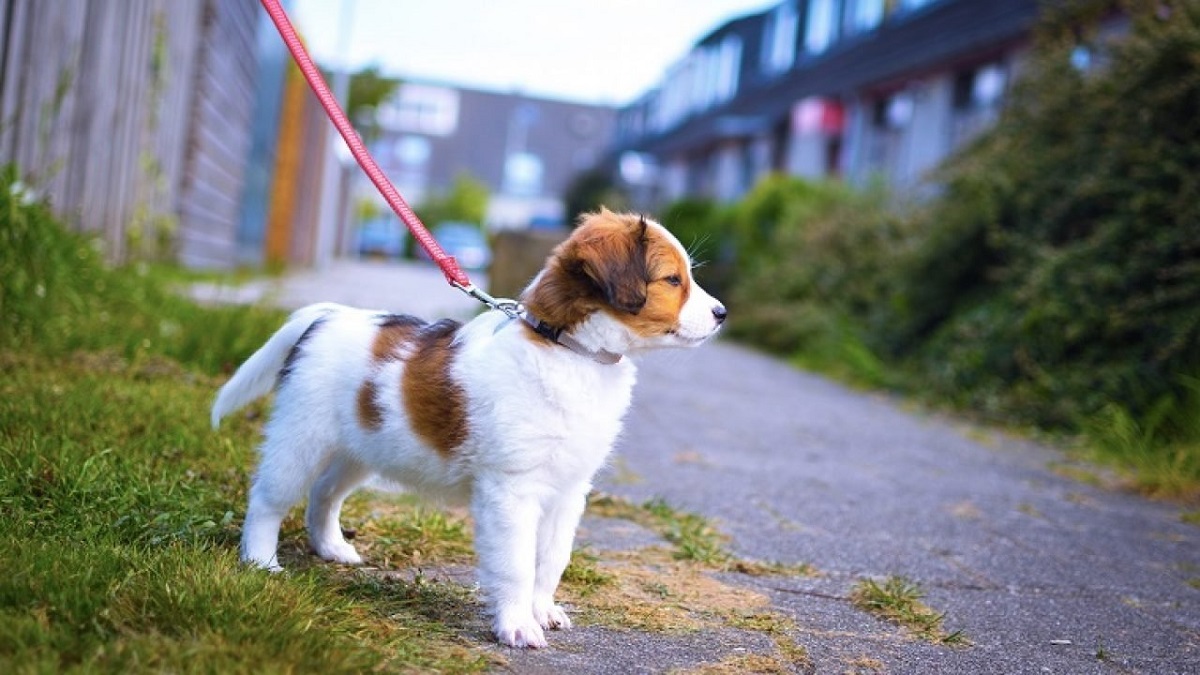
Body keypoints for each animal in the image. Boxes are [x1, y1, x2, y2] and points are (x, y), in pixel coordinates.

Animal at [208, 207, 720, 643]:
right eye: (673, 279)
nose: (722, 314)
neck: (569, 352)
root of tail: (327, 314)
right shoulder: (512, 491)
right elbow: (516, 563)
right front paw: (517, 626)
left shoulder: (568, 493)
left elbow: (551, 559)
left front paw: (542, 610)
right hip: (301, 441)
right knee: (268, 500)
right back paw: (260, 562)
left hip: (364, 447)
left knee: (325, 493)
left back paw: (332, 548)